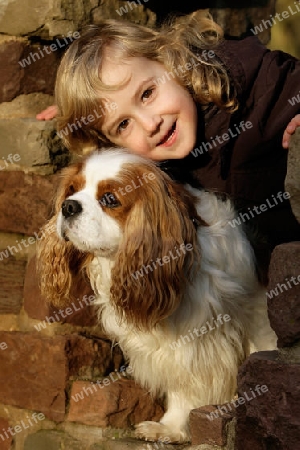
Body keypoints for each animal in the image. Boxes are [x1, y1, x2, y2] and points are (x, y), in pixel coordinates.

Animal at [37, 149, 276, 442]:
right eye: (72, 189)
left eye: (110, 199)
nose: (68, 206)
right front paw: (170, 425)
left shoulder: (199, 336)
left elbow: (189, 383)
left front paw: (174, 427)